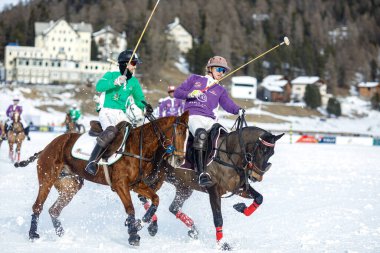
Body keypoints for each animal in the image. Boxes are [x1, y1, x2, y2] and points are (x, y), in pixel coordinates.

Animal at [15, 111, 189, 246]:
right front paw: (133, 234)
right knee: (38, 206)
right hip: (47, 178)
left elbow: (155, 199)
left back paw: (61, 234)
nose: (180, 160)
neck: (138, 148)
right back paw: (33, 234)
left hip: (71, 185)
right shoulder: (120, 185)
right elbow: (130, 208)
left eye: (188, 135)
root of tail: (48, 146)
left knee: (54, 210)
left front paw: (143, 221)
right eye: (178, 133)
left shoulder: (136, 184)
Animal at [142, 116, 282, 249]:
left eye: (272, 153)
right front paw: (222, 244)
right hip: (157, 178)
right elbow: (218, 218)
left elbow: (259, 198)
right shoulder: (214, 190)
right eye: (262, 150)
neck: (229, 156)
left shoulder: (238, 188)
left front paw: (241, 207)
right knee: (144, 195)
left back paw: (192, 230)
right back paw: (150, 225)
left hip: (184, 186)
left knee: (173, 207)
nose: (256, 176)